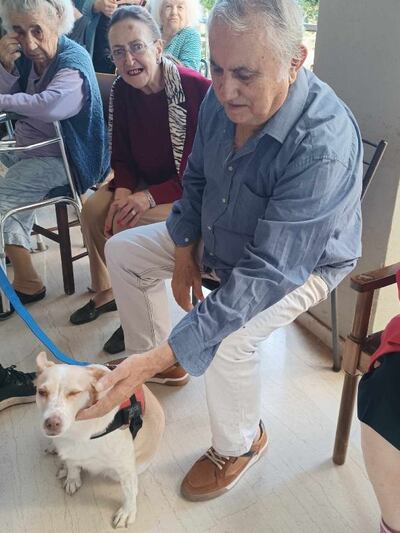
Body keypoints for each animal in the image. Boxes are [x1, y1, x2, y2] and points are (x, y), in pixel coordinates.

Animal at [35, 352, 165, 528]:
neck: (77, 431)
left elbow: (130, 491)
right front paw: (72, 477)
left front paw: (127, 511)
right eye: (42, 392)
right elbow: (72, 464)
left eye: (74, 393)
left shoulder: (125, 465)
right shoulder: (71, 451)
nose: (51, 423)